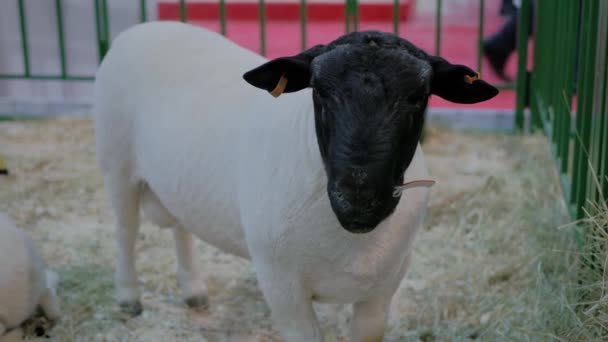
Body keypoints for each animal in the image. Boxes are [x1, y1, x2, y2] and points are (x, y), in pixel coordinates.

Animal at [92, 22, 496, 342]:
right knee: (126, 230)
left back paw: (194, 290)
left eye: (418, 96)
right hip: (116, 160)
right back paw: (128, 298)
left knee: (180, 226)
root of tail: (143, 27)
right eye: (319, 91)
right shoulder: (282, 287)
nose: (357, 199)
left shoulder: (383, 289)